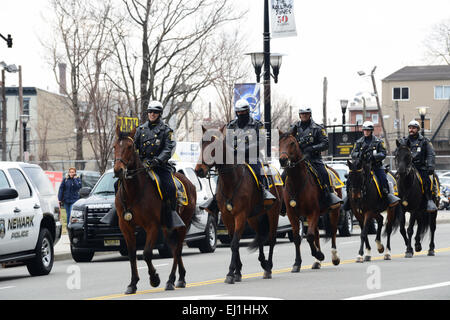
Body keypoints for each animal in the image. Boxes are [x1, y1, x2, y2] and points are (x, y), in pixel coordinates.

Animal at [112, 124, 197, 292]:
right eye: (114, 146)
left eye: (130, 146)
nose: (118, 170)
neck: (134, 192)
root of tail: (189, 183)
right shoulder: (126, 226)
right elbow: (132, 255)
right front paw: (132, 284)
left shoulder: (152, 226)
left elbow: (146, 253)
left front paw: (154, 278)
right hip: (167, 227)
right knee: (175, 249)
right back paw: (180, 278)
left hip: (182, 224)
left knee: (178, 249)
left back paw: (170, 280)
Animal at [193, 126, 282, 284]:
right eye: (200, 145)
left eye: (215, 147)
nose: (199, 170)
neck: (232, 181)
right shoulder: (227, 217)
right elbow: (234, 242)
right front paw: (237, 271)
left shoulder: (240, 215)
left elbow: (235, 243)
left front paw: (230, 272)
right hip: (253, 217)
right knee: (260, 237)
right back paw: (263, 262)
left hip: (273, 214)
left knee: (271, 240)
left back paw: (268, 268)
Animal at [278, 131, 342, 272]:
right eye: (279, 143)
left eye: (292, 143)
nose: (282, 160)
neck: (297, 182)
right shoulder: (292, 214)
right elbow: (298, 238)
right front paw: (297, 263)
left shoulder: (313, 211)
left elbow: (310, 236)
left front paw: (319, 254)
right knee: (317, 233)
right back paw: (317, 262)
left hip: (334, 211)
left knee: (333, 231)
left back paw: (334, 257)